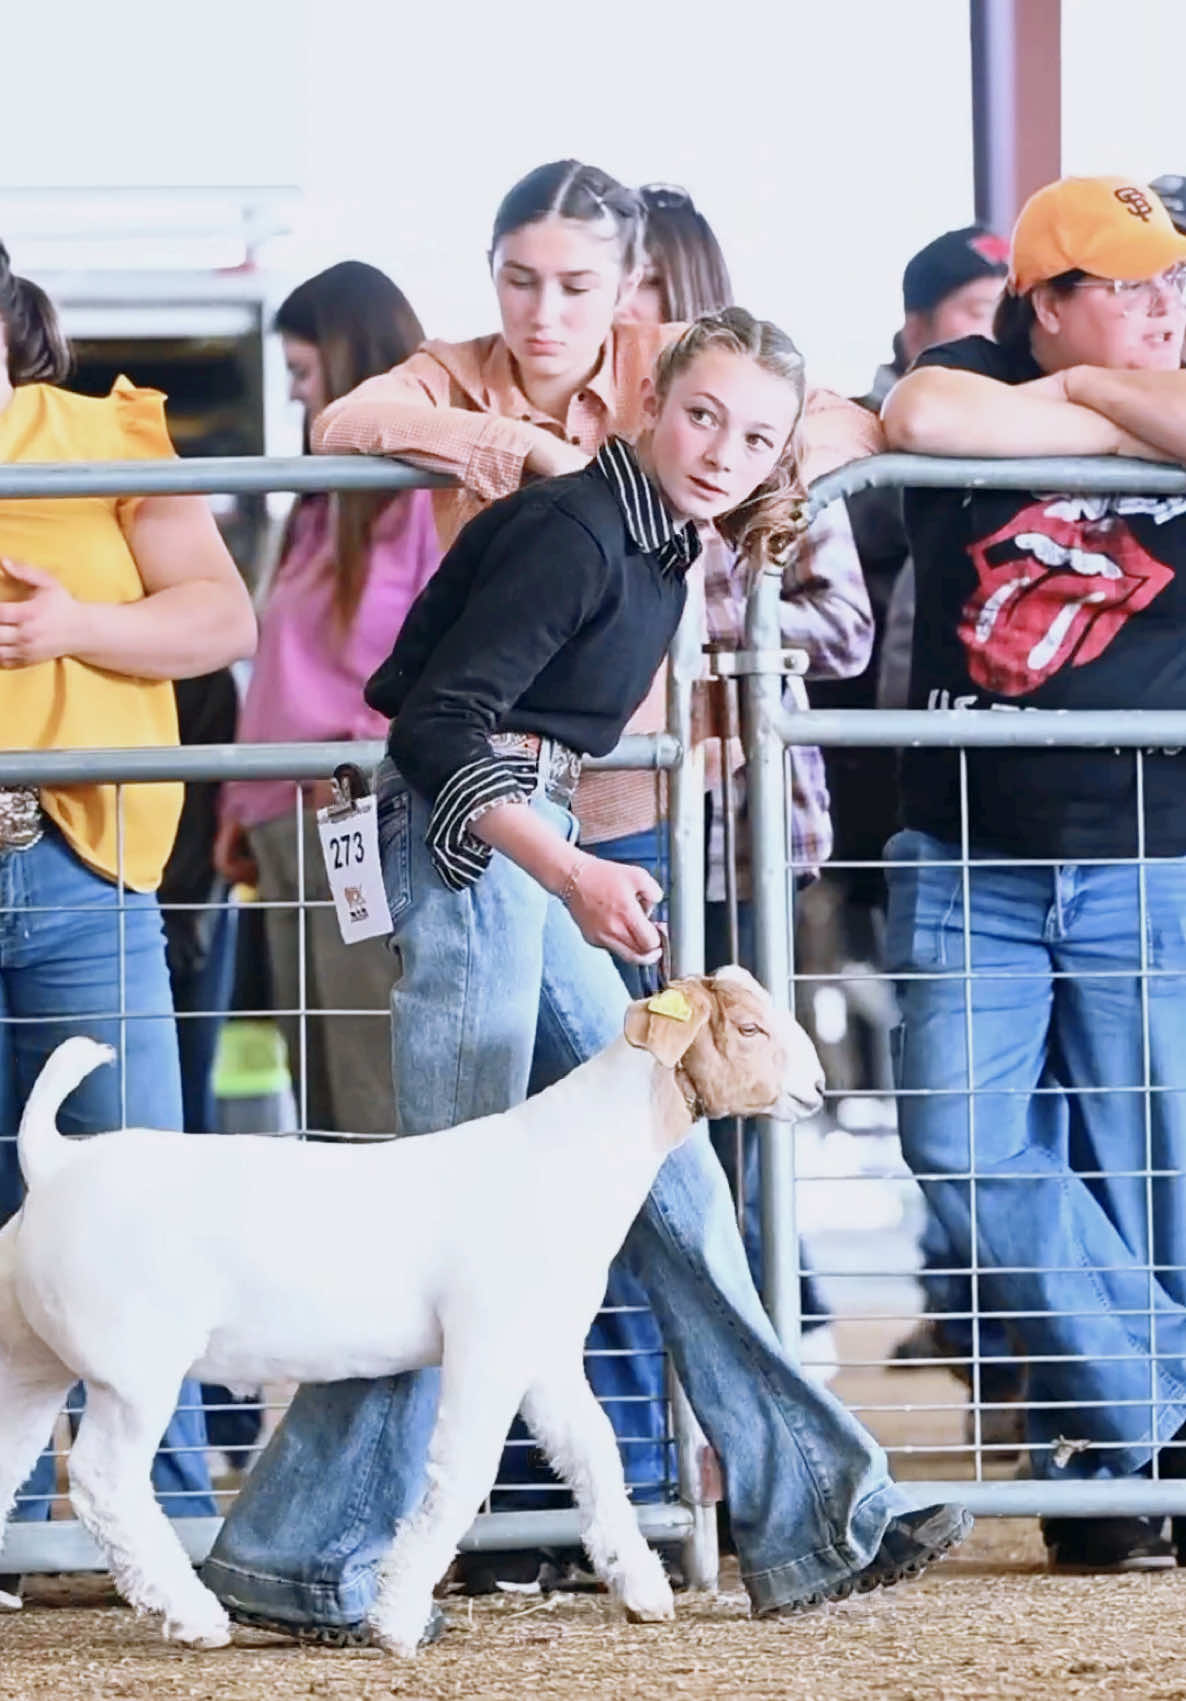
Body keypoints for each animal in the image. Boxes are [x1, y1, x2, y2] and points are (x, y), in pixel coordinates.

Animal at [0, 979, 820, 1653]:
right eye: (750, 1027)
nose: (815, 1087)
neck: (571, 1159)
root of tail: (55, 1164)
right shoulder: (488, 1342)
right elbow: (461, 1473)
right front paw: (395, 1620)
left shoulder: (545, 1351)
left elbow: (594, 1453)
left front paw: (643, 1588)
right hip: (134, 1371)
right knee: (104, 1481)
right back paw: (195, 1615)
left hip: (29, 1358)